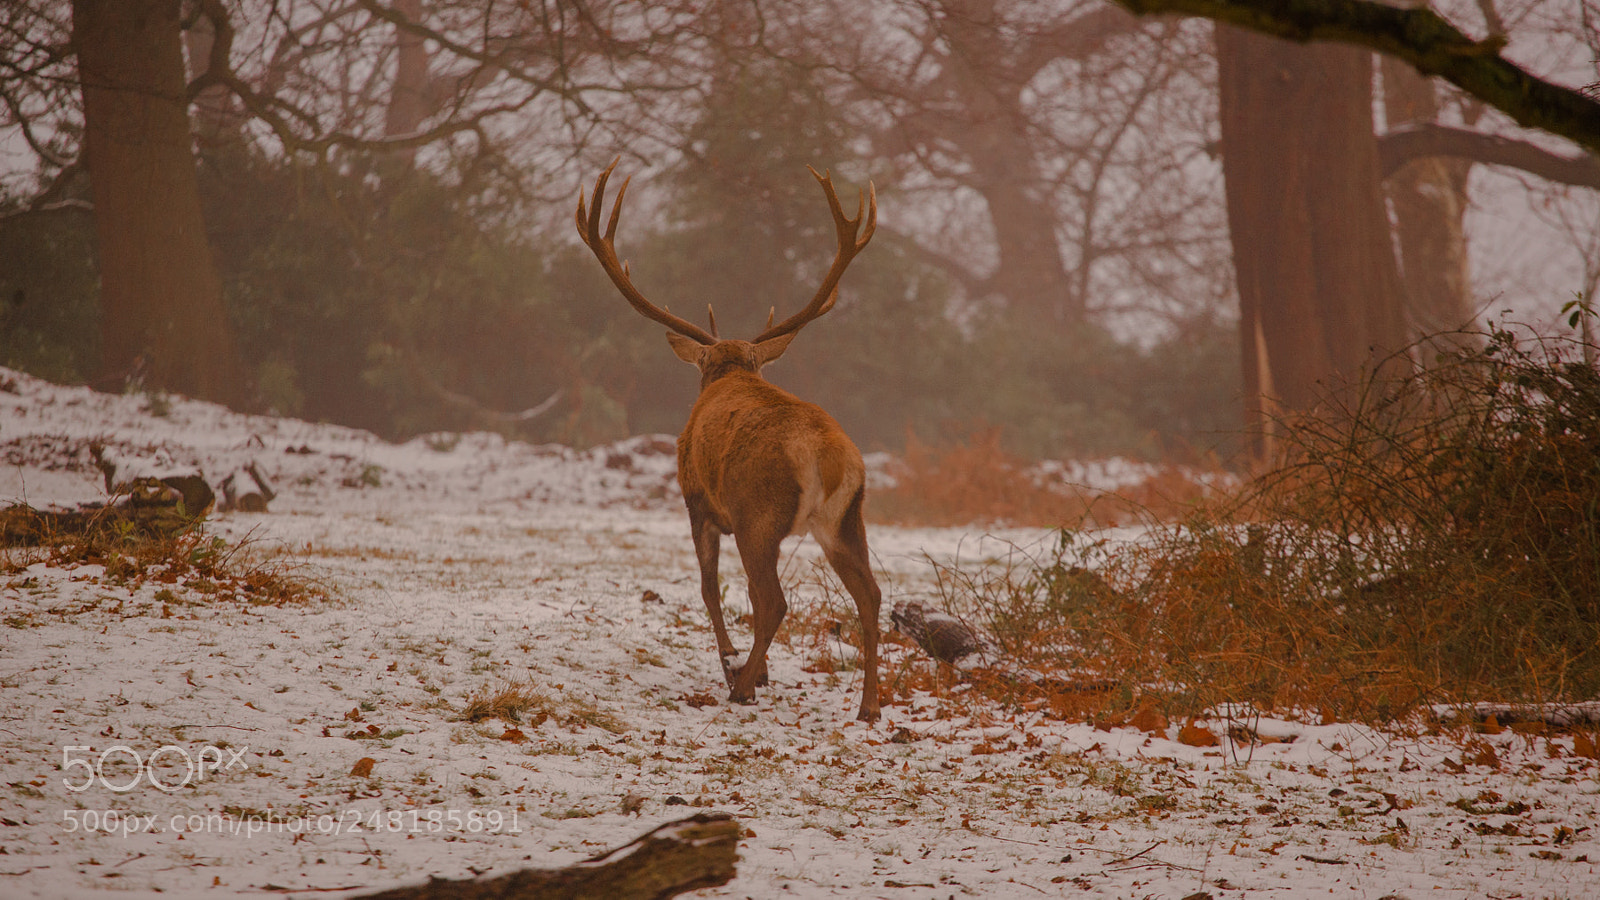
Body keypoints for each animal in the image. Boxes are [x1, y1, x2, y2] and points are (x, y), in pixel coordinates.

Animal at [576, 158, 883, 721]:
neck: (731, 370)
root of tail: (828, 456)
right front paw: (754, 671)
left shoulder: (698, 501)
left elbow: (709, 589)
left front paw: (736, 666)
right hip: (846, 518)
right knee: (869, 595)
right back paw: (869, 706)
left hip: (757, 514)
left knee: (774, 600)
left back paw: (739, 687)